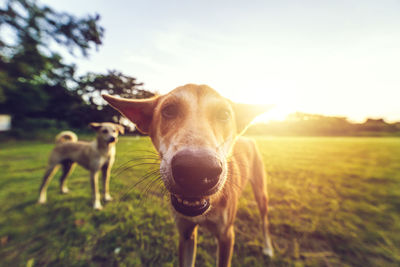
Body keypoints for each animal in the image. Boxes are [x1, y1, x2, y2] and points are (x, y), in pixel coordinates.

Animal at [101, 85, 274, 267]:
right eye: (169, 110)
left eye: (224, 114)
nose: (197, 169)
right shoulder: (185, 234)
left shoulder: (227, 235)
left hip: (261, 194)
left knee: (264, 221)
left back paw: (268, 248)